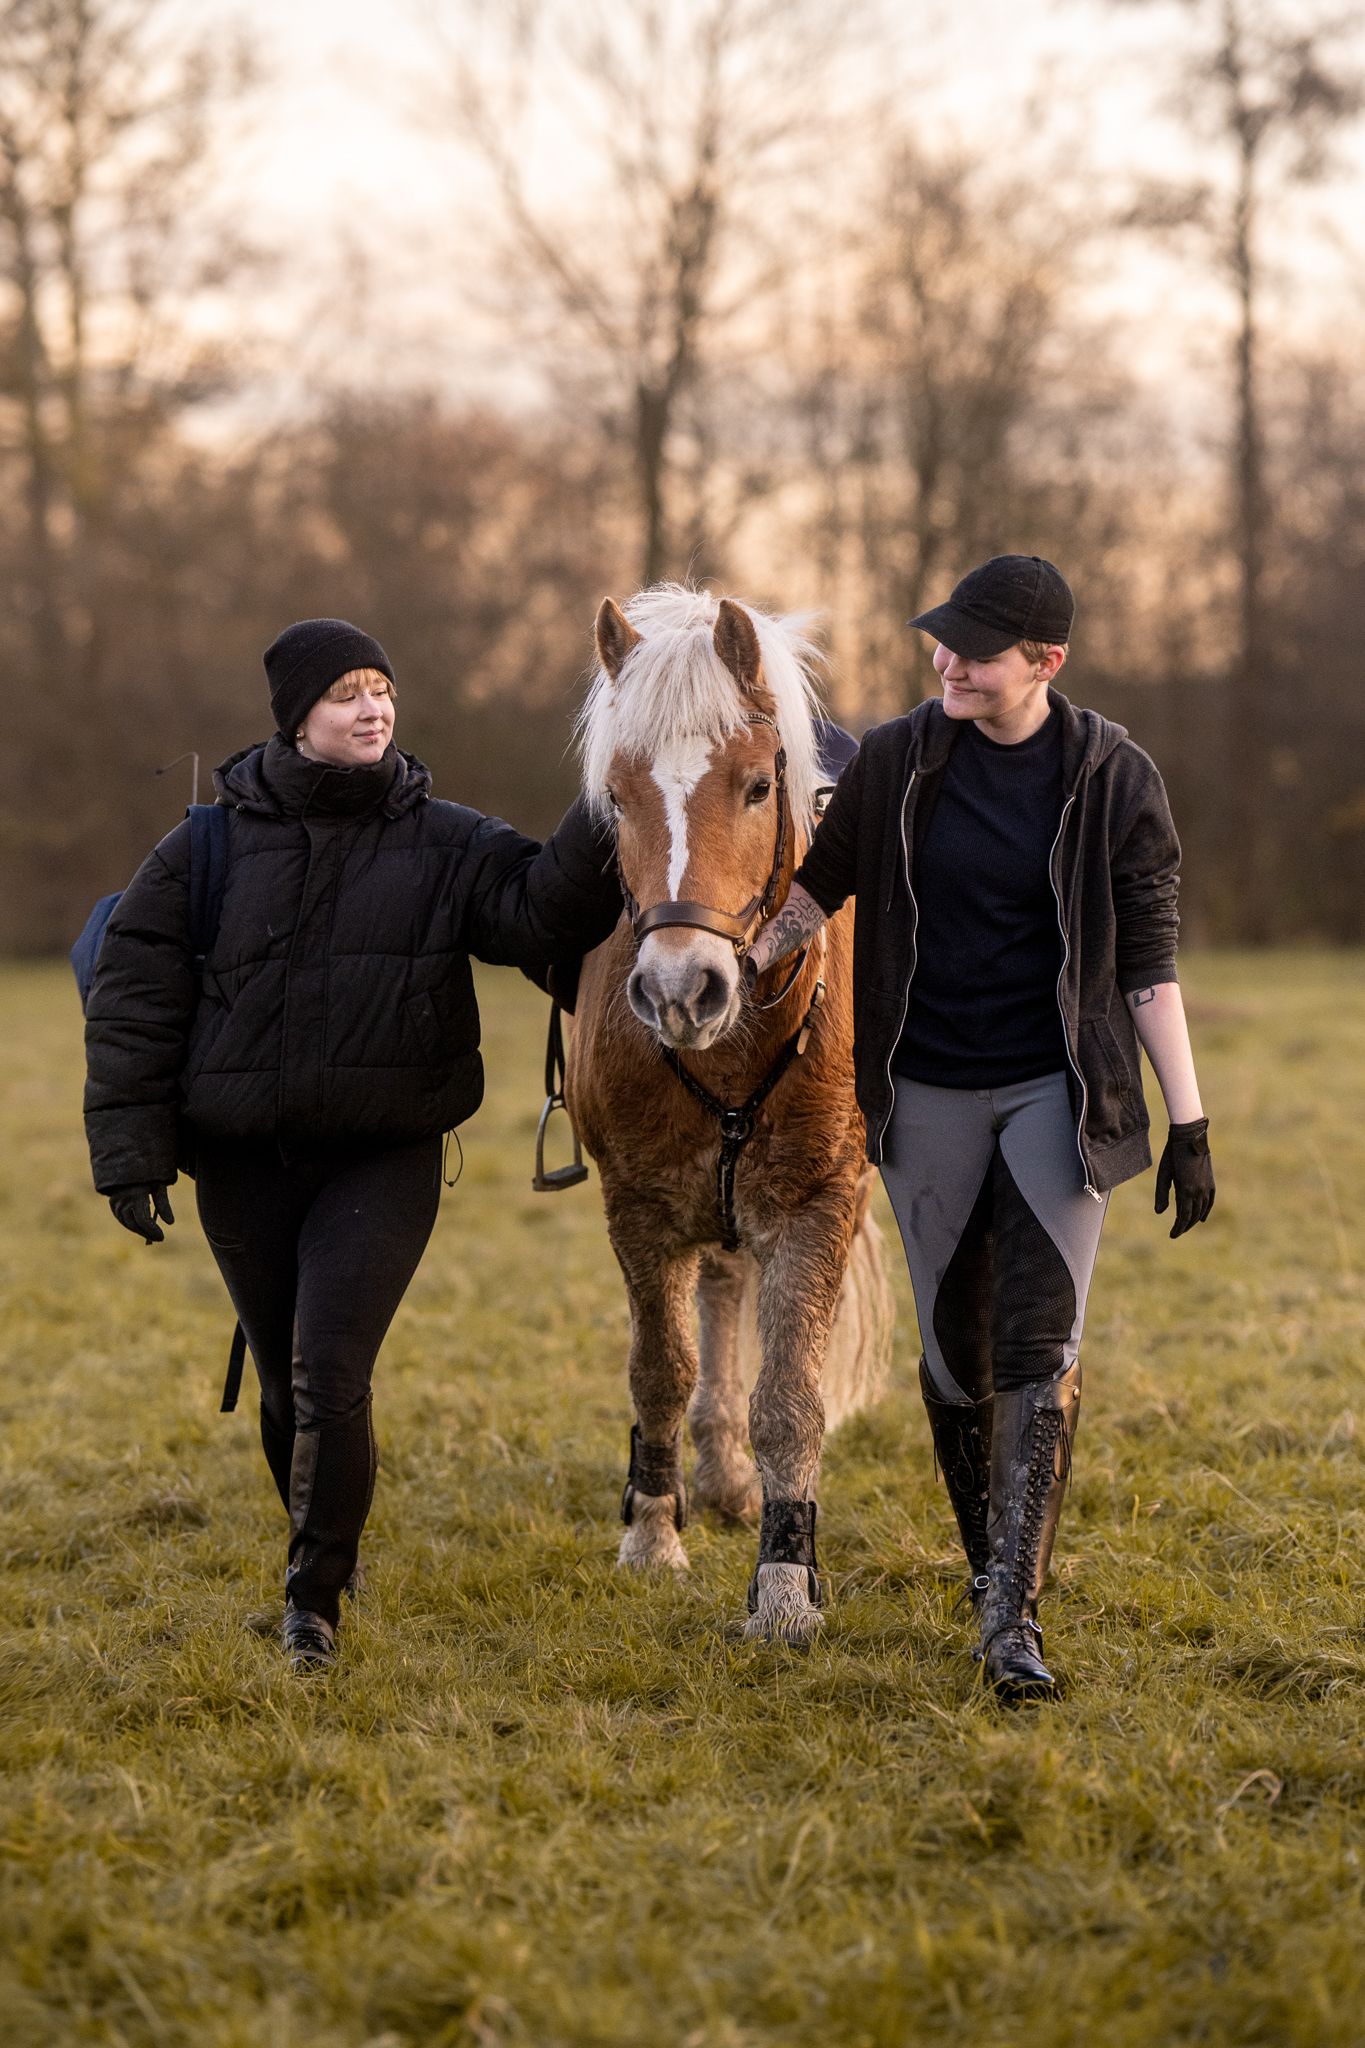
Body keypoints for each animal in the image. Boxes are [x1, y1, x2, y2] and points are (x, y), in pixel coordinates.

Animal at [565, 583, 893, 1643]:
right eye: (617, 796)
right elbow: (660, 1370)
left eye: (755, 787)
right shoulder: (637, 1206)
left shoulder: (816, 1205)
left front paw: (785, 1585)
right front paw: (651, 1535)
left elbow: (789, 1397)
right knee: (712, 1294)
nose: (681, 988)